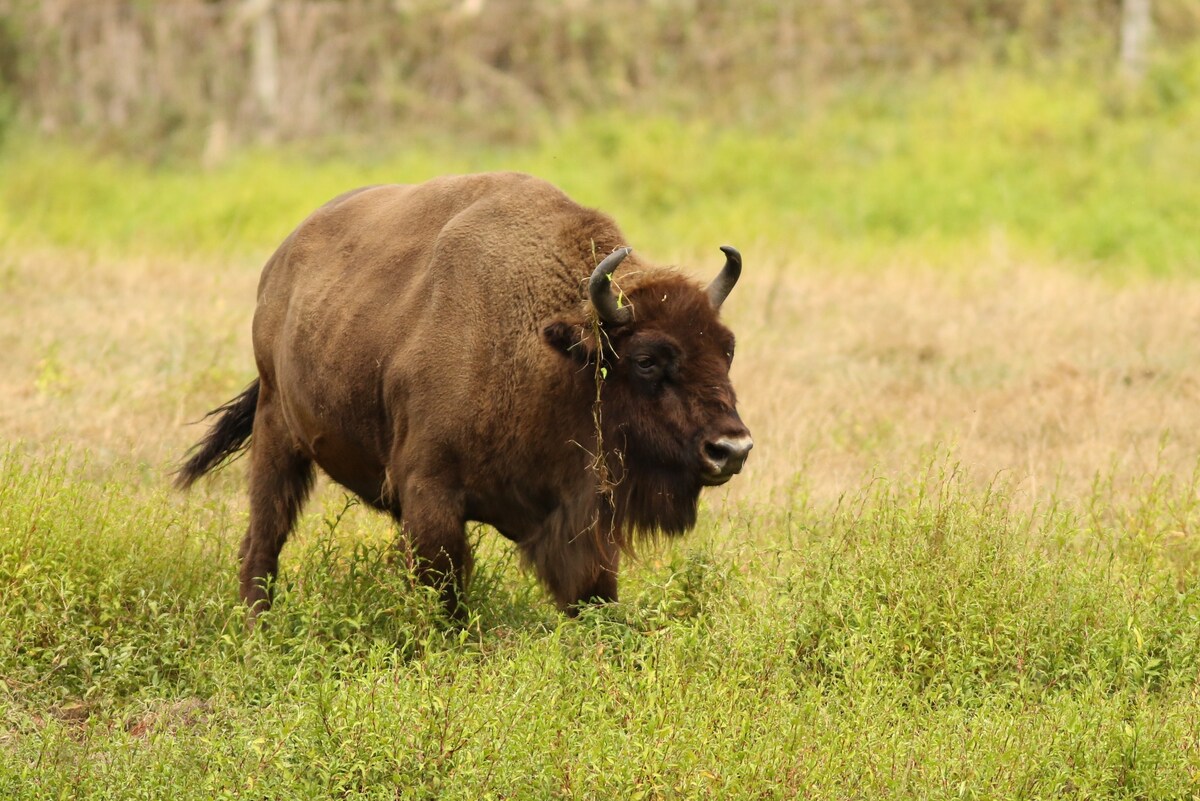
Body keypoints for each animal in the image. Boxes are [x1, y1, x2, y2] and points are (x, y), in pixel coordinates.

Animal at [175, 172, 748, 618]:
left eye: (727, 349)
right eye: (647, 359)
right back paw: (257, 625)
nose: (732, 449)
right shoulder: (431, 496)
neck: (555, 355)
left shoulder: (579, 518)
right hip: (277, 430)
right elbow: (445, 591)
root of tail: (280, 264)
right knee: (263, 538)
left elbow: (592, 592)